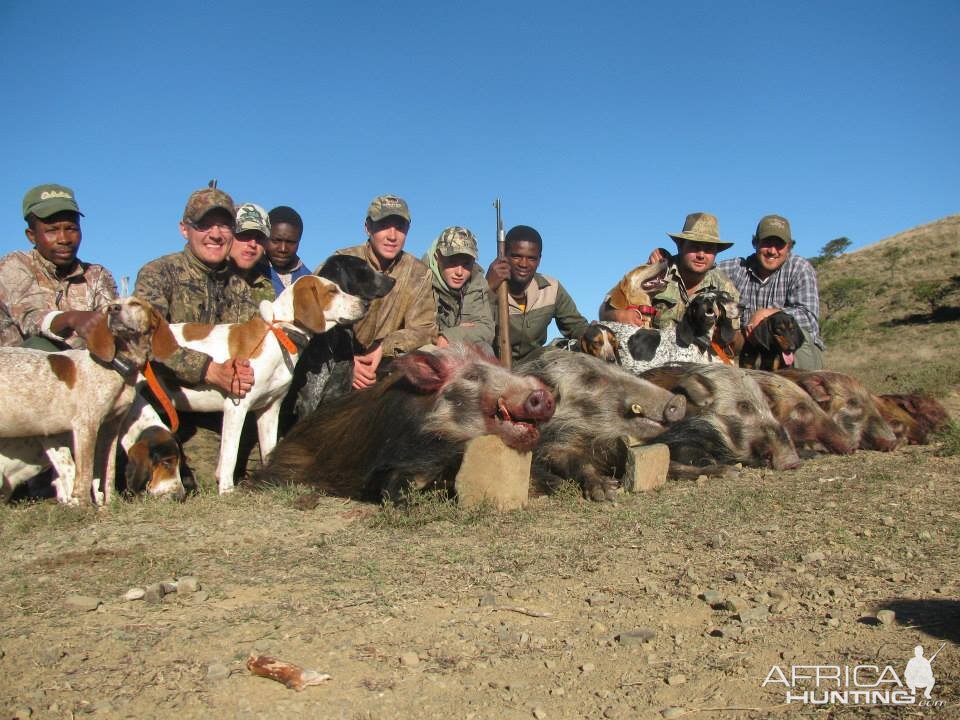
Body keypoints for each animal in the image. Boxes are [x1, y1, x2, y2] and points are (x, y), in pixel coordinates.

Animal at [0, 296, 176, 504]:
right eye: (110, 306)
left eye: (136, 304)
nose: (114, 309)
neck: (116, 366)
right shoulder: (86, 426)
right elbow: (84, 475)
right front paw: (83, 506)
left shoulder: (111, 428)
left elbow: (107, 473)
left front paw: (110, 504)